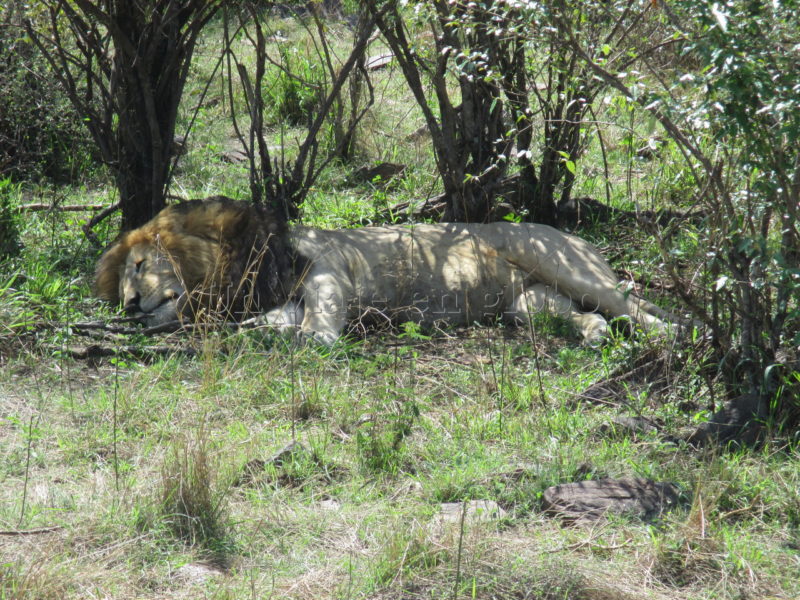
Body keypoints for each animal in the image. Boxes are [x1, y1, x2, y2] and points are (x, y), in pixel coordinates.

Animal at [97, 197, 680, 344]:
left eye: (141, 266)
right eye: (122, 284)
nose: (129, 305)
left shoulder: (329, 267)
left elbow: (320, 314)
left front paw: (318, 339)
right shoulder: (280, 301)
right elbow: (272, 323)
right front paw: (254, 334)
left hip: (564, 265)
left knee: (633, 305)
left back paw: (671, 336)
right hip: (528, 304)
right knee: (577, 315)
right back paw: (594, 334)